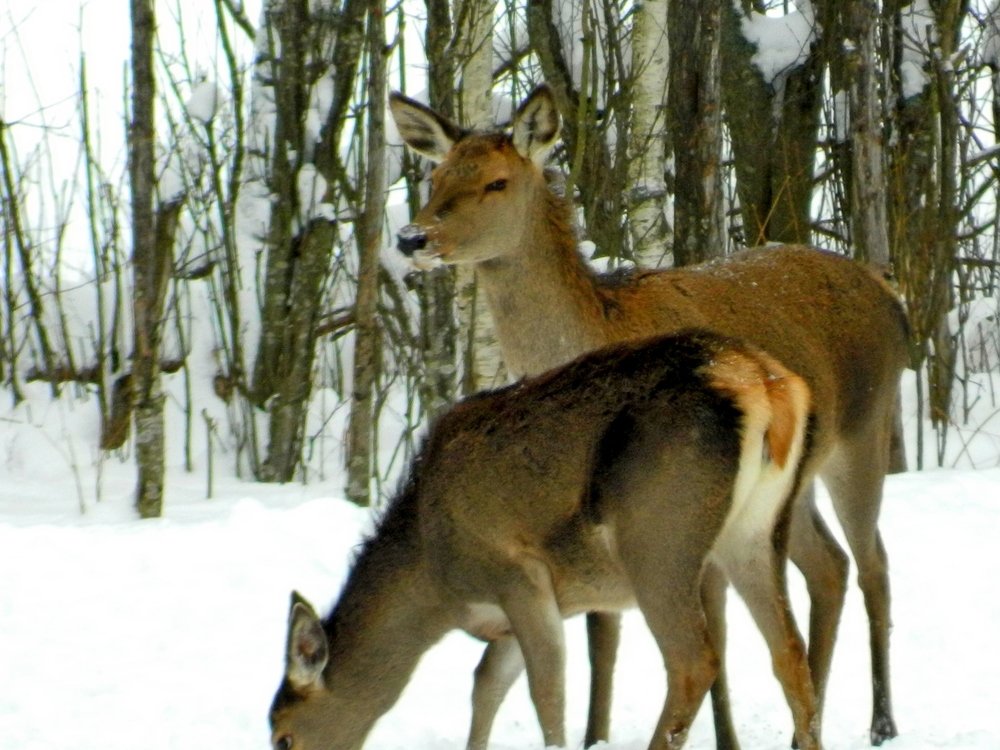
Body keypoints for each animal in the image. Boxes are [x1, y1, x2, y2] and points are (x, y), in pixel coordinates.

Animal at [271, 330, 820, 750]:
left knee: (692, 660)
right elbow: (486, 684)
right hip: (754, 531)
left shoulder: (517, 574)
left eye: (282, 736)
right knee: (790, 652)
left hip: (660, 534)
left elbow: (546, 690)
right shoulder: (517, 613)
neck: (435, 580)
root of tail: (766, 382)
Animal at [389, 85, 910, 750]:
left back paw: (882, 721)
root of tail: (890, 294)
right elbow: (603, 636)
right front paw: (596, 735)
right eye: (436, 176)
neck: (597, 326)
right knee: (829, 567)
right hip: (791, 488)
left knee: (874, 565)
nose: (412, 237)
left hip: (866, 429)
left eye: (497, 182)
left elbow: (705, 636)